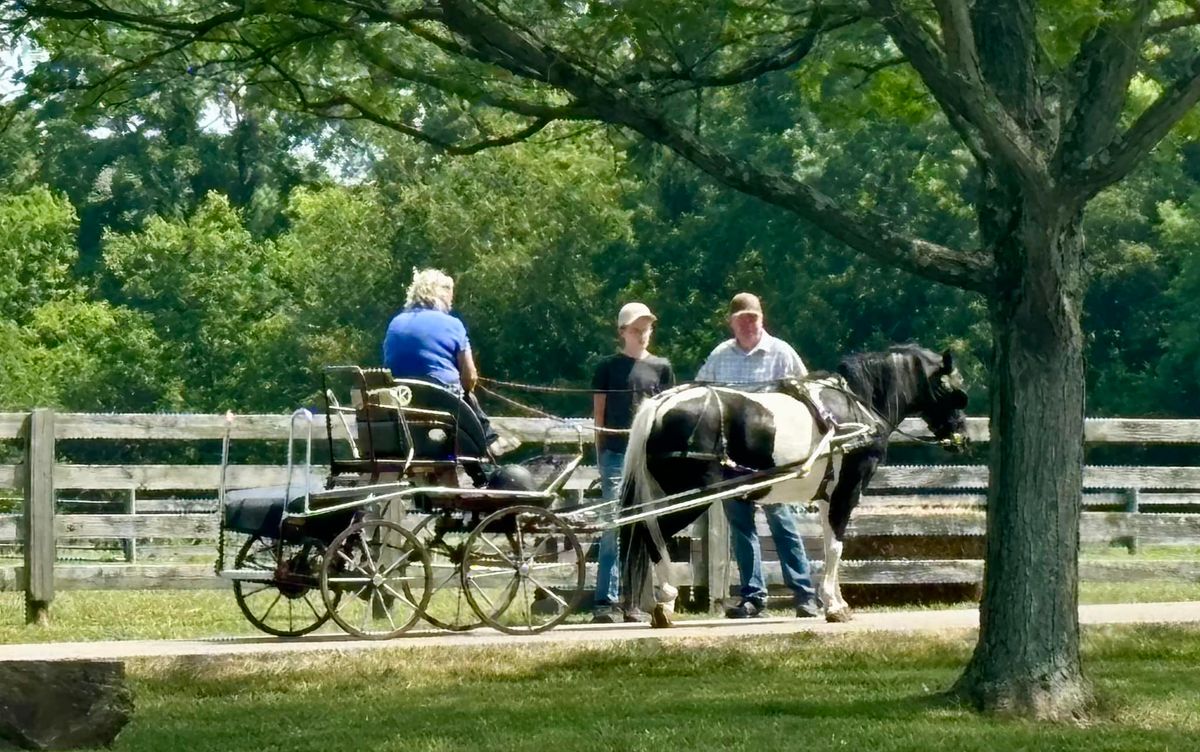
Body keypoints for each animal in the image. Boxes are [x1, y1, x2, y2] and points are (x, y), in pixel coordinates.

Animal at [614, 345, 969, 623]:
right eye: (954, 392)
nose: (962, 438)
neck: (856, 407)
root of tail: (659, 404)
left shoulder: (827, 496)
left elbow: (828, 545)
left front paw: (832, 601)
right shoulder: (847, 489)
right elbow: (837, 546)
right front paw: (835, 607)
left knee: (643, 531)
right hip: (689, 496)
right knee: (651, 533)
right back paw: (665, 600)